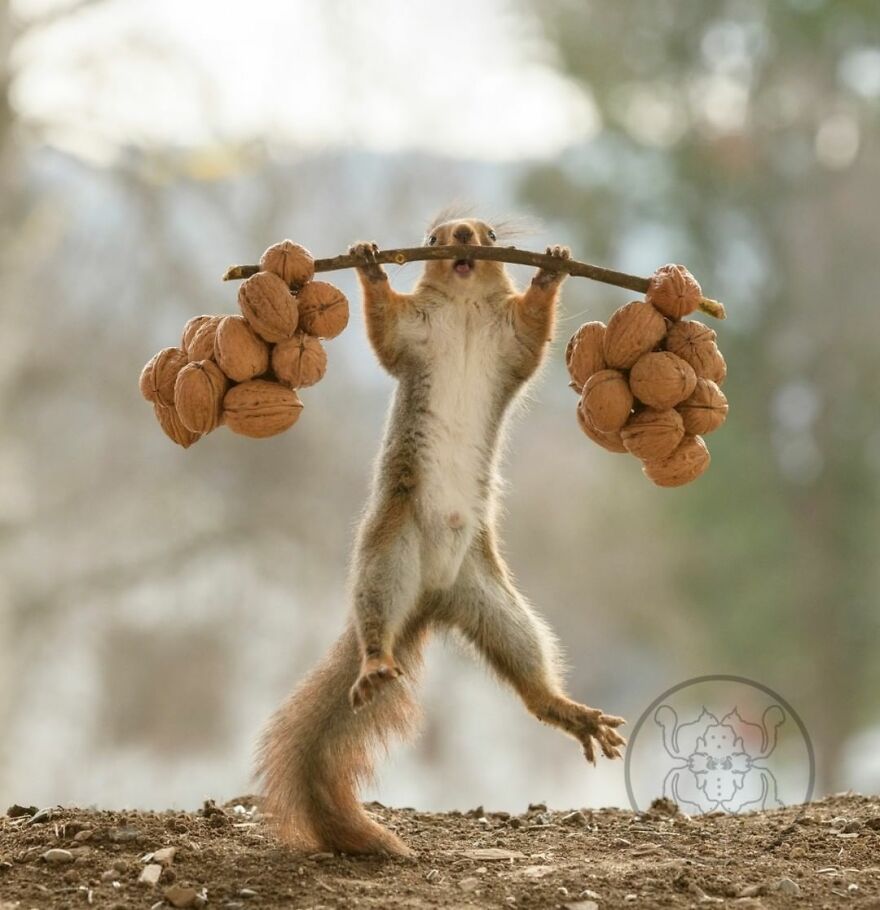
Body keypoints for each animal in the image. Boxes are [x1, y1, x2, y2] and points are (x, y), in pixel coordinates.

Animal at [257, 214, 626, 856]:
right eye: (432, 235)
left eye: (486, 232)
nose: (461, 236)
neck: (463, 307)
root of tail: (429, 596)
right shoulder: (411, 336)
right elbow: (383, 327)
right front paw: (369, 262)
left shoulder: (512, 343)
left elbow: (534, 333)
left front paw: (551, 268)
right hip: (388, 552)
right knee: (376, 619)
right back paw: (375, 663)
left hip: (495, 602)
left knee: (527, 669)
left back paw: (565, 709)